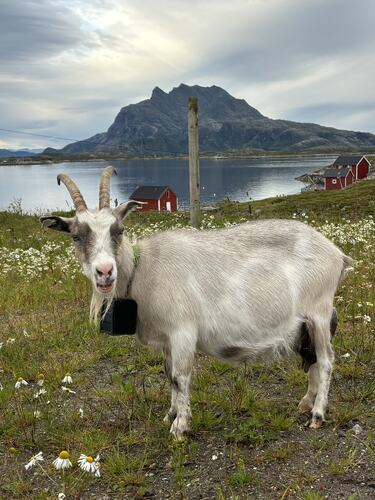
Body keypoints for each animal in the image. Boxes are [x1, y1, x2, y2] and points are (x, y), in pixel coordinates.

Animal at [40, 167, 352, 438]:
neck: (144, 269)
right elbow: (168, 376)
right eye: (76, 235)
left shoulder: (183, 332)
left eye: (119, 230)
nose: (104, 271)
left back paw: (317, 415)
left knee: (326, 361)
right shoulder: (166, 339)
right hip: (308, 323)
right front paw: (170, 415)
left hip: (319, 312)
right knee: (313, 360)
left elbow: (180, 377)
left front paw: (180, 428)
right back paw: (305, 403)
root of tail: (337, 254)